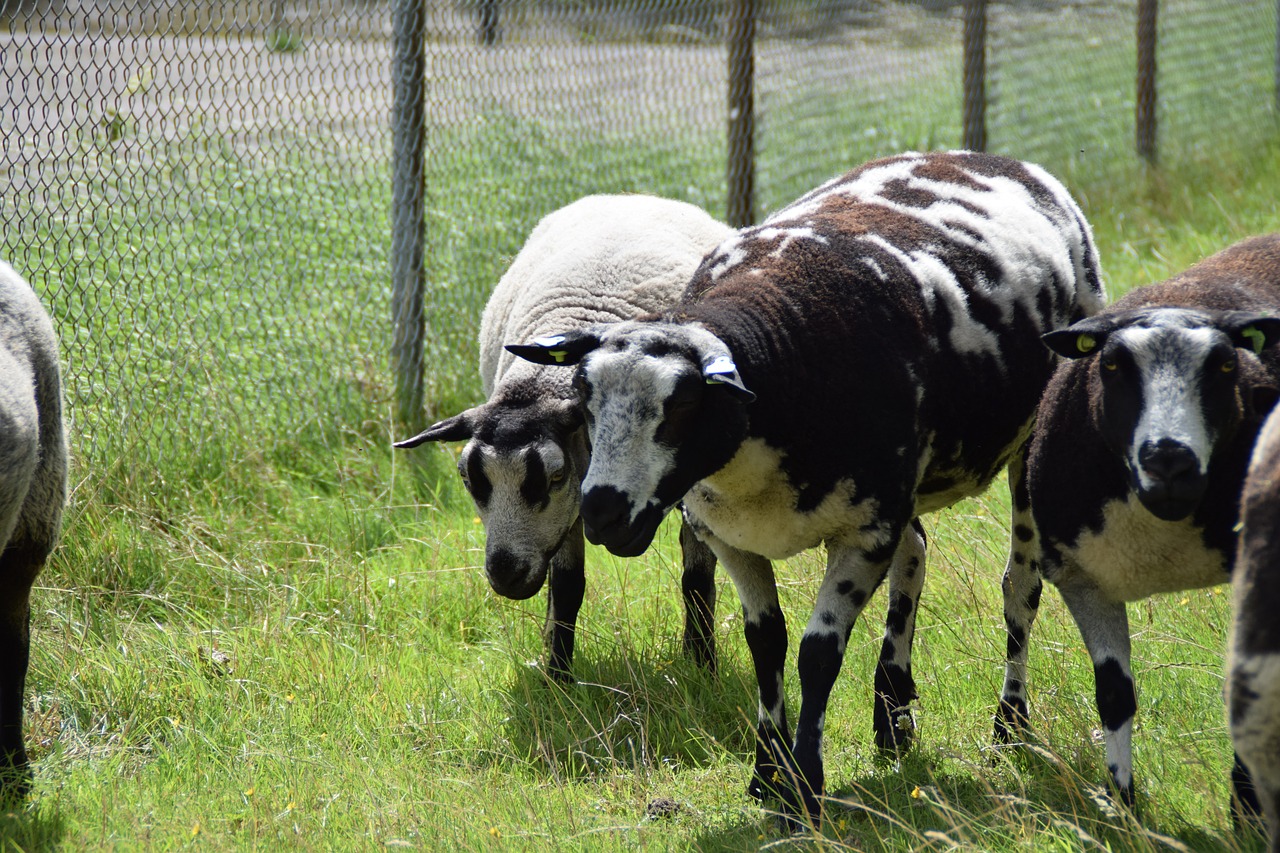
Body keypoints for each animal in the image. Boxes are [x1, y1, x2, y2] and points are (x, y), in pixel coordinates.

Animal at [391, 190, 732, 676]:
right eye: (469, 480)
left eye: (553, 477)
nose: (506, 573)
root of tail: (631, 195)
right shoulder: (570, 507)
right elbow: (568, 586)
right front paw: (557, 674)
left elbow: (698, 578)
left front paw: (703, 667)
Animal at [504, 149, 1105, 819]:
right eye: (583, 395)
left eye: (683, 404)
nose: (603, 512)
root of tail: (984, 157)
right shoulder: (731, 535)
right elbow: (766, 642)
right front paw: (767, 773)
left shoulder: (864, 532)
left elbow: (818, 652)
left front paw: (805, 785)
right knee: (915, 552)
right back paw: (893, 717)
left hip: (1023, 448)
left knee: (1019, 588)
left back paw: (1009, 727)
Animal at [1003, 229, 1280, 814]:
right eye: (1111, 366)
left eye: (1226, 365)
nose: (1169, 462)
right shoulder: (1082, 579)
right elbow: (1114, 696)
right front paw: (1122, 802)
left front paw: (1245, 809)